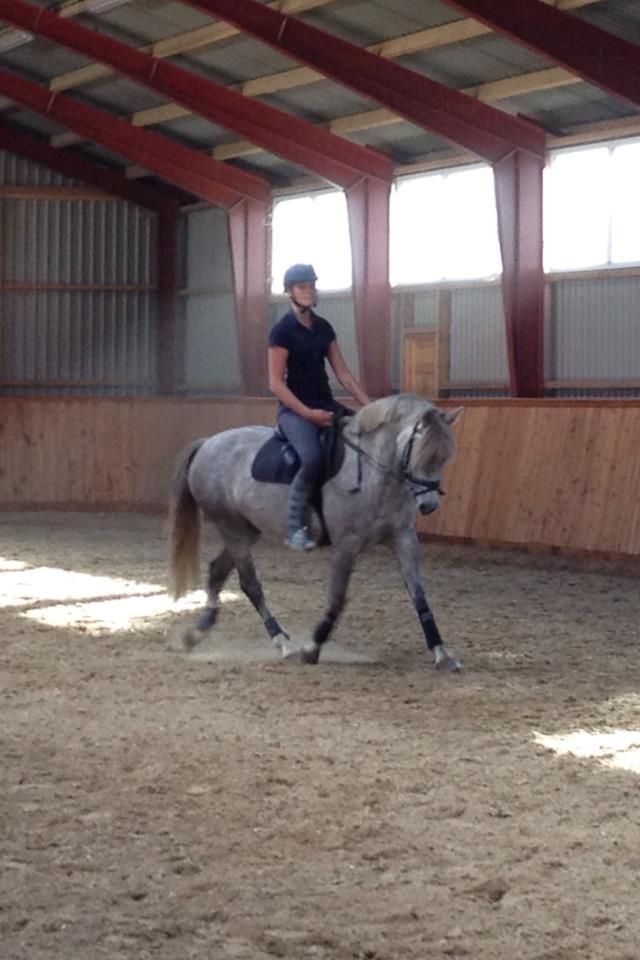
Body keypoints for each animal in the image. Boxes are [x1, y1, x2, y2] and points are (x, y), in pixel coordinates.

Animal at [169, 393, 463, 670]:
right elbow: (338, 598)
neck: (374, 474)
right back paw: (281, 641)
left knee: (218, 569)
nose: (428, 506)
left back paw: (197, 632)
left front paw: (442, 654)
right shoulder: (347, 543)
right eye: (421, 454)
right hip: (230, 526)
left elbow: (418, 595)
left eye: (445, 457)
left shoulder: (403, 537)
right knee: (250, 584)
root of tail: (207, 443)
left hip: (246, 529)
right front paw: (312, 647)